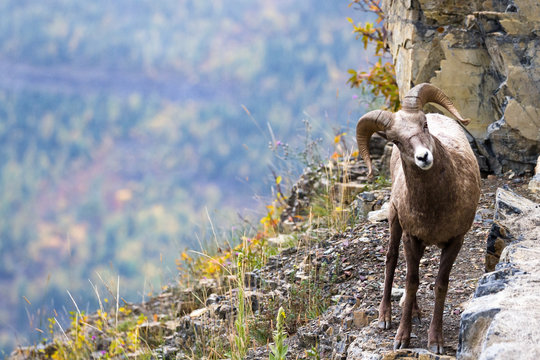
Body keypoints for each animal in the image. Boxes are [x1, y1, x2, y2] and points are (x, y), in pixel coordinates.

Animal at [358, 83, 480, 354]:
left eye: (424, 125)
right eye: (396, 140)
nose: (423, 157)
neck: (435, 206)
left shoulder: (455, 240)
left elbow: (440, 284)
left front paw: (435, 342)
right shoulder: (411, 237)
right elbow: (411, 282)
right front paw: (401, 338)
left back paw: (415, 312)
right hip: (396, 222)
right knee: (392, 259)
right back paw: (385, 317)